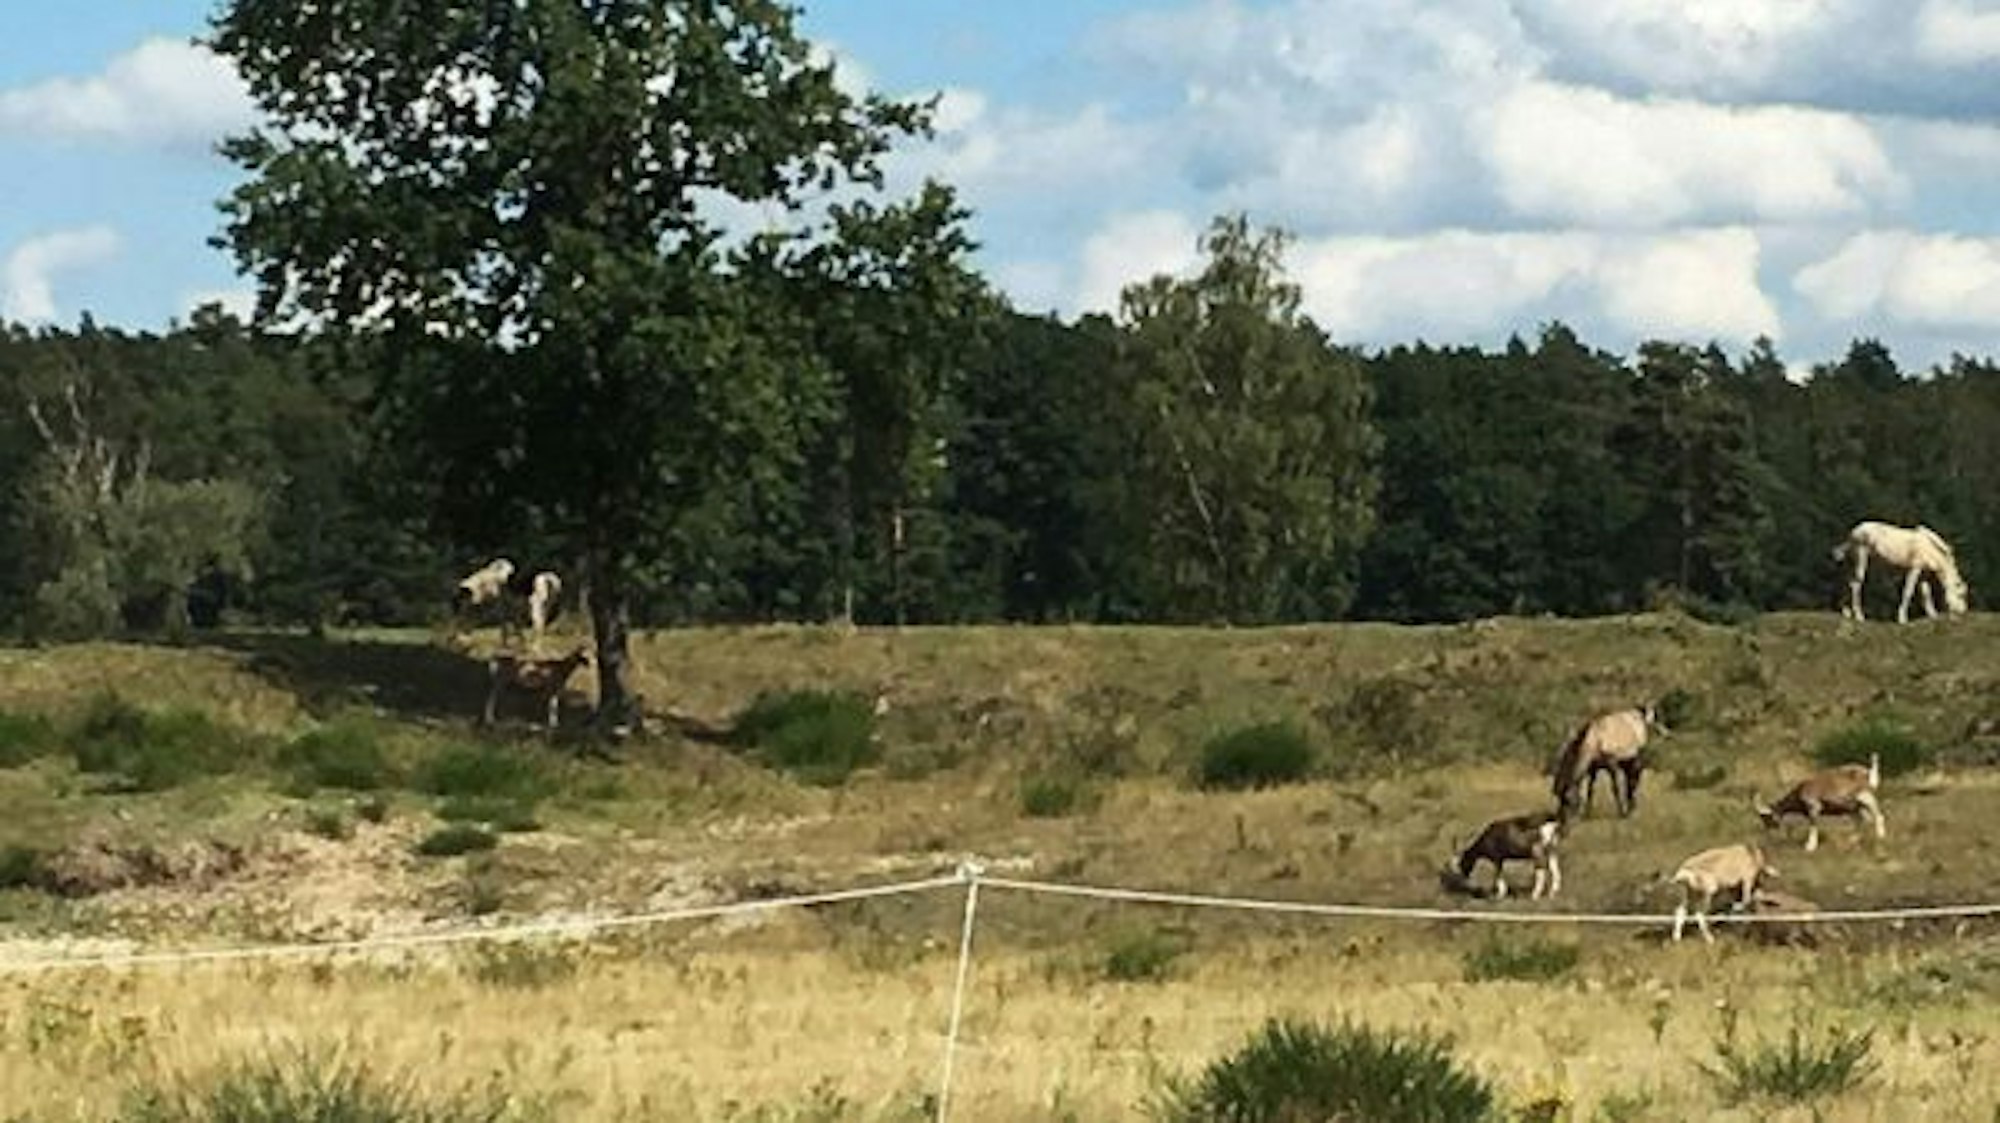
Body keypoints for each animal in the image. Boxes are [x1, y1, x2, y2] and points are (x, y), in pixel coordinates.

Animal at [1754, 754, 1884, 852]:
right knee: (1862, 821)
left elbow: (1813, 826)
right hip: (1856, 807)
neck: (1800, 790)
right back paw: (1853, 840)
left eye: (1768, 818)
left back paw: (1881, 836)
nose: (1769, 834)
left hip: (1866, 797)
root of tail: (1868, 773)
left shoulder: (1814, 808)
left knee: (1878, 815)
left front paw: (1810, 847)